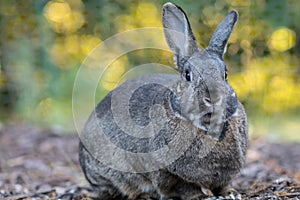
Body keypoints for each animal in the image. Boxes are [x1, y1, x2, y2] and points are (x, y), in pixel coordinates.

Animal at [78, 1, 247, 200]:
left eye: (225, 74)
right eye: (187, 75)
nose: (214, 98)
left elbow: (223, 184)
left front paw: (230, 193)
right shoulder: (165, 172)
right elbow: (183, 186)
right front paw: (199, 196)